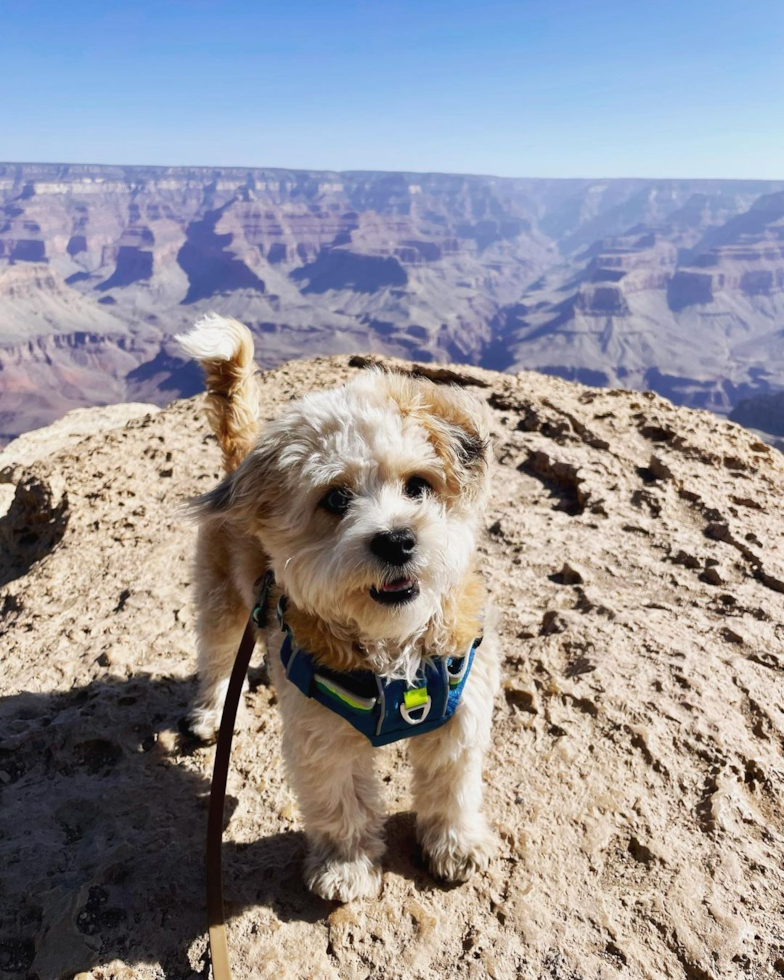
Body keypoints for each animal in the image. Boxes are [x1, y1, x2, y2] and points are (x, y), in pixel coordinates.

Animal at [178, 316, 500, 904]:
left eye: (418, 485)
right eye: (335, 499)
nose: (397, 540)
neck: (394, 648)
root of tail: (243, 455)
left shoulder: (459, 717)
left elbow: (452, 787)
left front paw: (456, 844)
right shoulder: (322, 734)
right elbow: (341, 800)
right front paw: (345, 867)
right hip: (221, 603)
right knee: (215, 661)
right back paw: (210, 714)